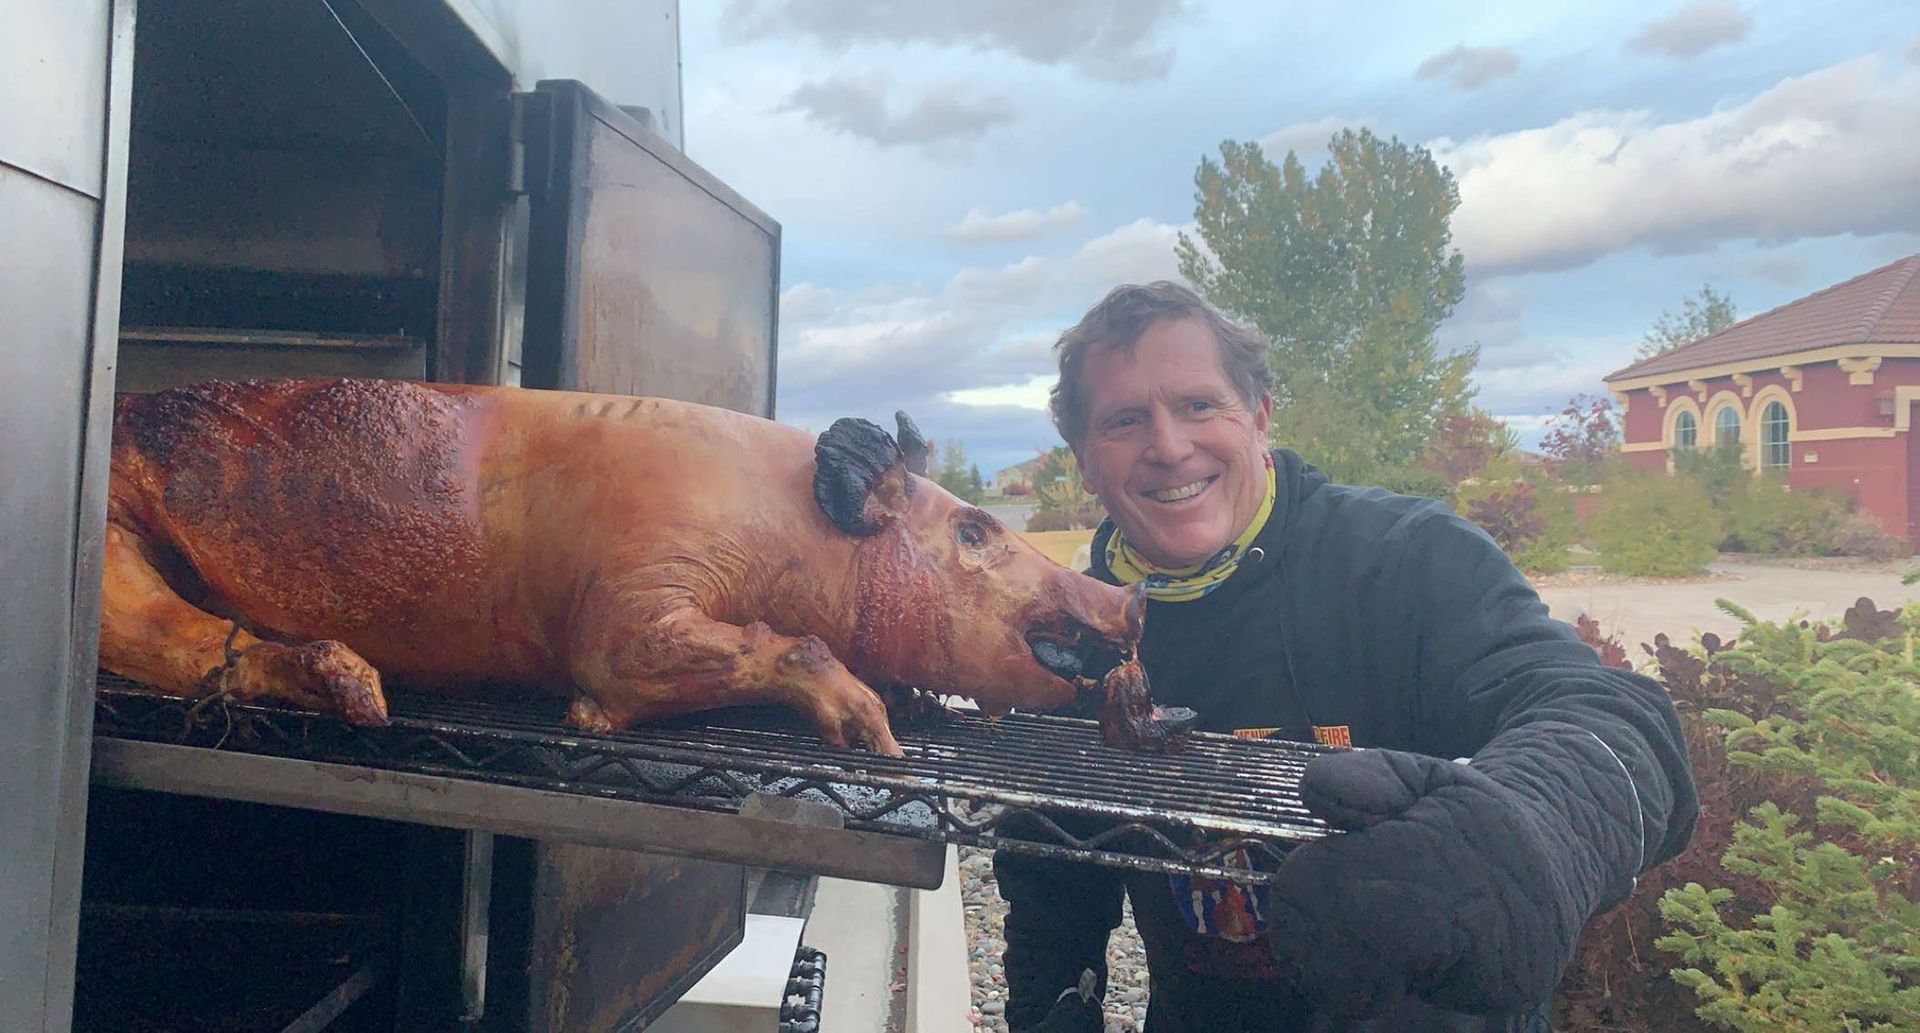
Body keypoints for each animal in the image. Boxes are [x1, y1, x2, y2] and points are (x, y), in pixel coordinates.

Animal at [98, 378, 1151, 756]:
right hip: (111, 533)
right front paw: (878, 732)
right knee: (173, 637)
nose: (1130, 597)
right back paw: (357, 688)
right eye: (975, 531)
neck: (781, 528)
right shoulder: (637, 598)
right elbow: (636, 661)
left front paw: (920, 709)